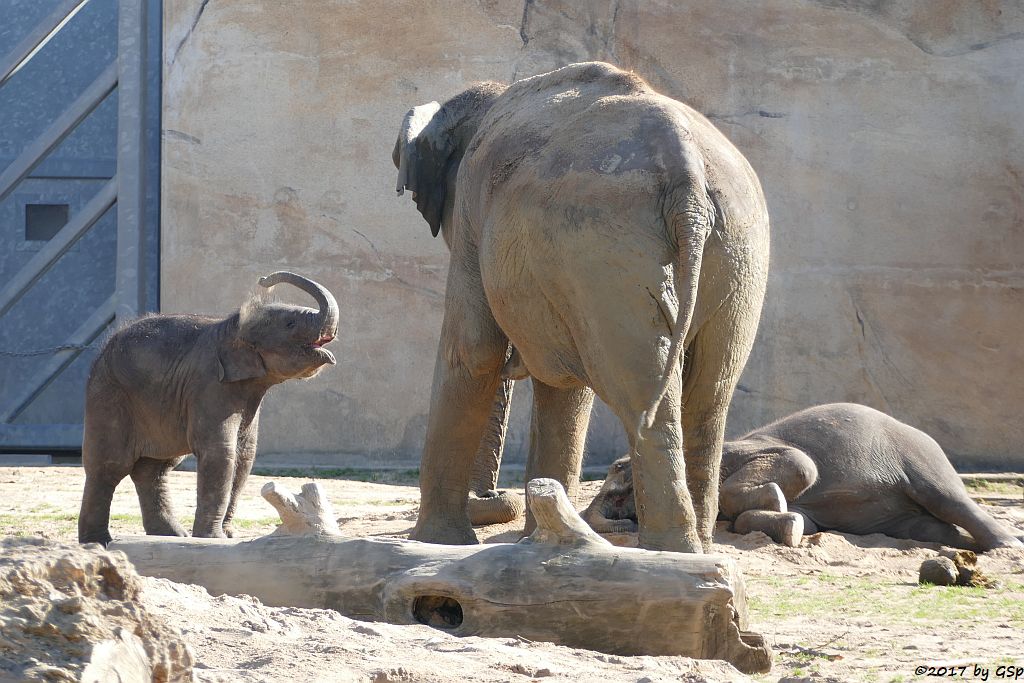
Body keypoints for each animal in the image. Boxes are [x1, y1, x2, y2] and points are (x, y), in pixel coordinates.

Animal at [78, 272, 339, 544]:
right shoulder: (210, 386)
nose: (265, 279)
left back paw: (173, 535)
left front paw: (227, 536)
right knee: (110, 465)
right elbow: (220, 452)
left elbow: (244, 455)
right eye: (290, 324)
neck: (230, 327)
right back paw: (97, 541)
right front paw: (213, 538)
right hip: (108, 396)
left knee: (154, 469)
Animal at [391, 62, 770, 557]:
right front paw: (535, 541)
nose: (491, 499)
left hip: (605, 248)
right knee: (710, 392)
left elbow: (472, 352)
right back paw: (699, 549)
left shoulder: (475, 207)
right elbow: (565, 388)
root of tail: (686, 174)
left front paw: (437, 544)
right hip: (738, 256)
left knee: (639, 387)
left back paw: (670, 551)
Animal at [585, 403, 1024, 552]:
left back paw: (1006, 548)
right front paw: (791, 524)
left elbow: (800, 464)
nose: (625, 523)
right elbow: (802, 520)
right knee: (928, 527)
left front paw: (776, 499)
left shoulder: (744, 449)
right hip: (903, 515)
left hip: (921, 455)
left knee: (947, 498)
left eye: (618, 475)